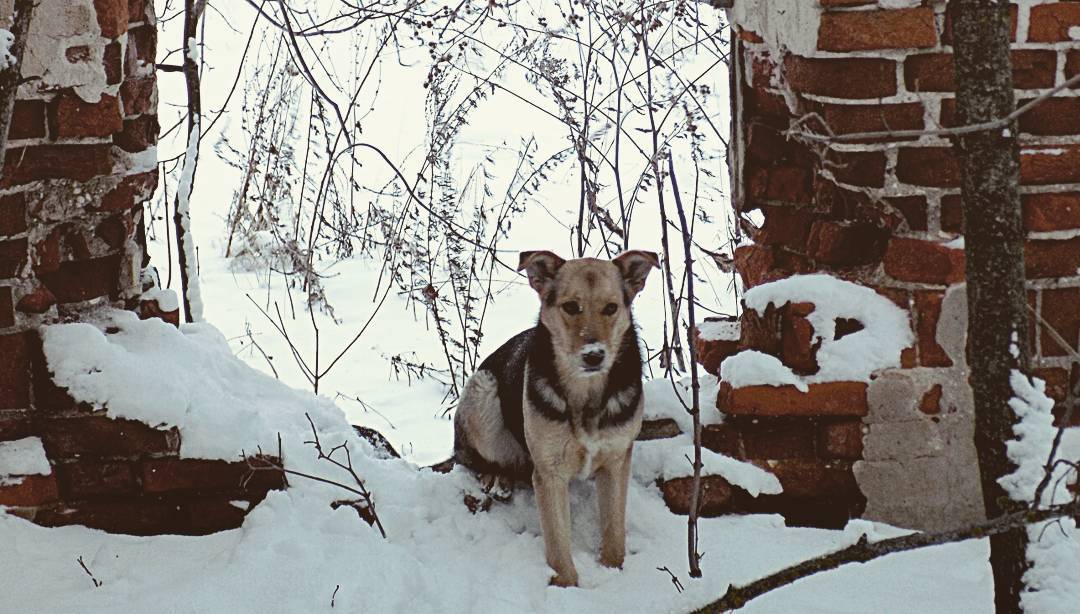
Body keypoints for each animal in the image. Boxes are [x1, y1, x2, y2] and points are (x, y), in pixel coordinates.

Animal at [449, 248, 656, 582]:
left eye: (611, 308)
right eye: (571, 307)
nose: (594, 355)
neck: (585, 394)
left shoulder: (616, 462)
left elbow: (614, 534)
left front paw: (613, 572)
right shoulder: (549, 473)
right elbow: (558, 546)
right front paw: (566, 585)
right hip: (484, 391)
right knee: (470, 457)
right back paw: (496, 475)